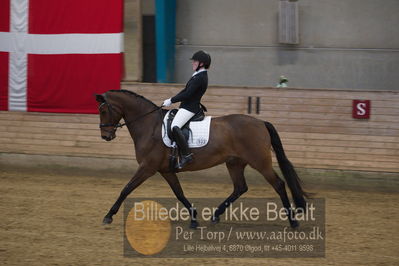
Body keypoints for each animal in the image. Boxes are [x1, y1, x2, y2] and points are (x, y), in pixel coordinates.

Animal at [96, 89, 310, 229]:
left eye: (104, 111)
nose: (106, 136)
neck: (150, 126)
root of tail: (261, 122)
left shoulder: (147, 167)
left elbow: (126, 189)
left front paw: (108, 215)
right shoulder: (165, 170)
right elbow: (179, 193)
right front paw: (193, 218)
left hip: (260, 162)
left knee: (279, 184)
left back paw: (293, 221)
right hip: (234, 163)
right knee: (240, 188)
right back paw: (215, 216)